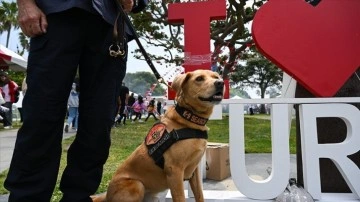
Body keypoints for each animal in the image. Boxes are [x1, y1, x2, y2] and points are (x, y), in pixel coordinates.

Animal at [91, 70, 224, 202]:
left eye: (216, 77)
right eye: (199, 79)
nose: (220, 83)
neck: (189, 119)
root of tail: (107, 195)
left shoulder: (194, 170)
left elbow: (200, 195)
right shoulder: (174, 171)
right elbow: (180, 197)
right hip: (137, 185)